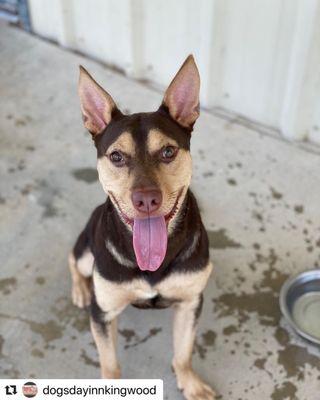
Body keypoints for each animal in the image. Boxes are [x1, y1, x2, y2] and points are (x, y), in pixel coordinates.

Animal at [69, 54, 216, 398]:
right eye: (116, 156)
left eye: (168, 151)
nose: (146, 199)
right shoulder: (102, 311)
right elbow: (110, 365)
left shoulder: (191, 302)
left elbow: (184, 352)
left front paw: (190, 383)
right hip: (86, 252)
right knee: (72, 258)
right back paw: (80, 289)